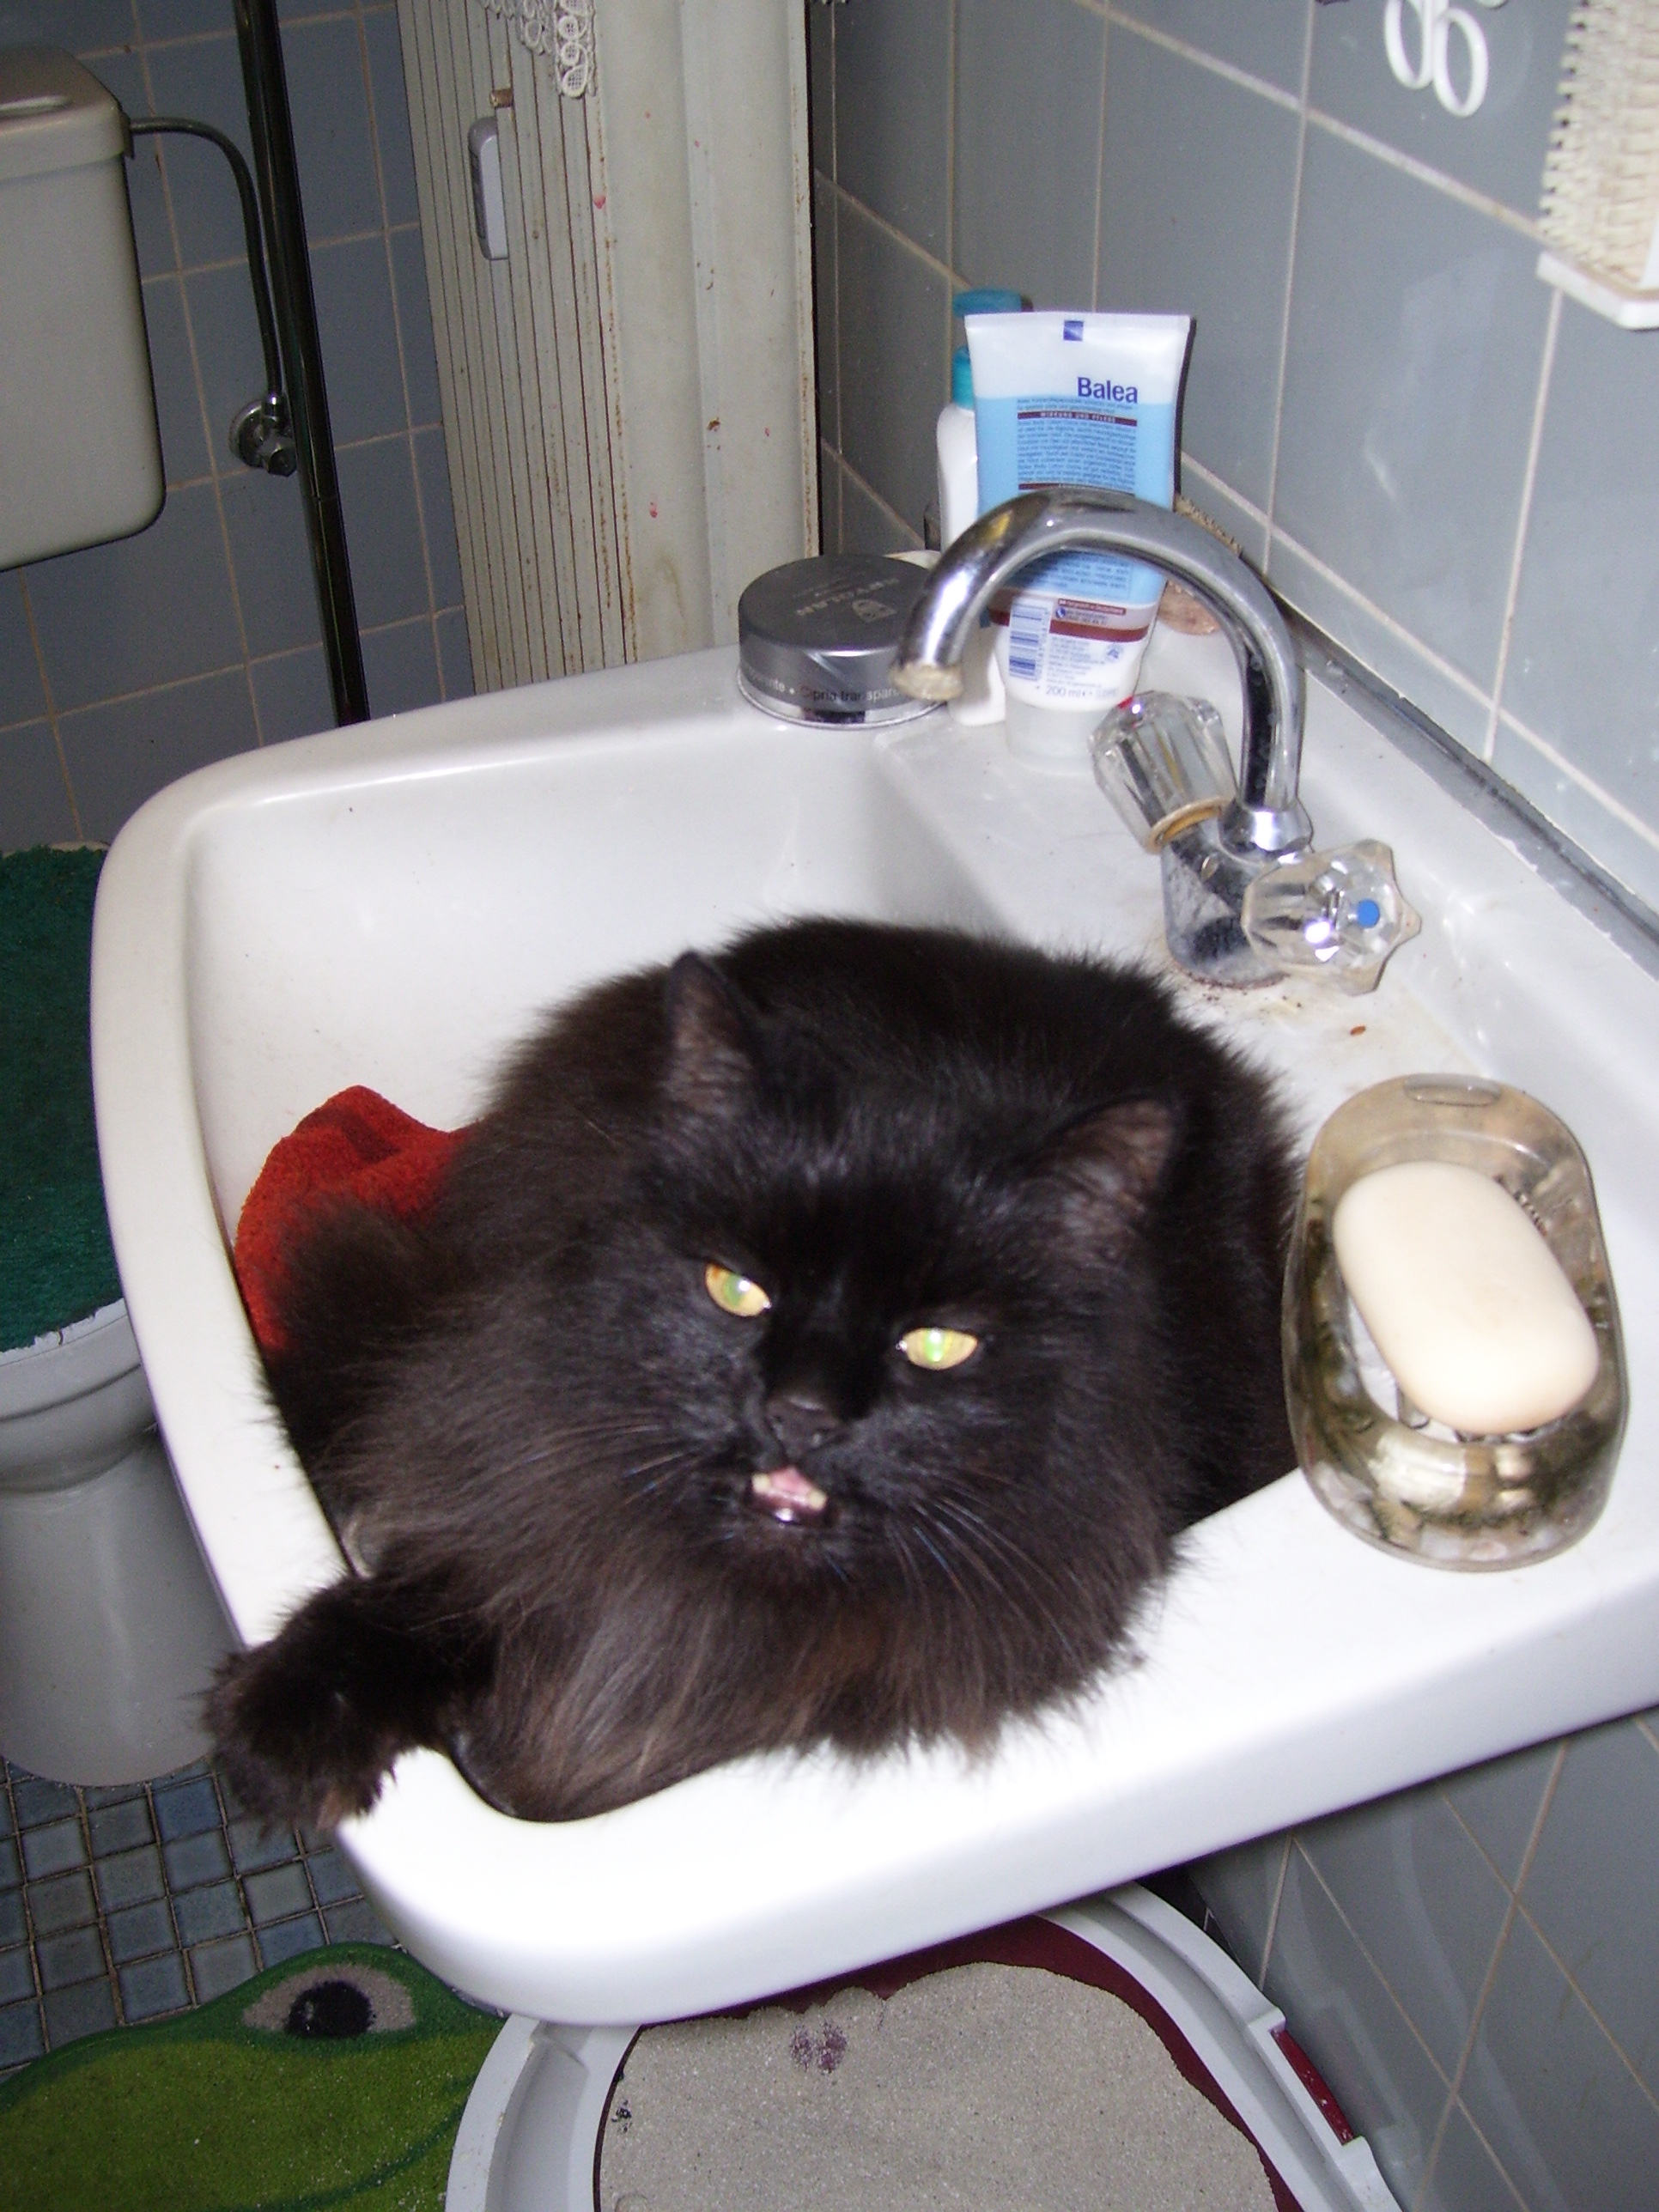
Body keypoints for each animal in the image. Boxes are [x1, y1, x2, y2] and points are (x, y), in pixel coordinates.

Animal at [208, 918, 1297, 1829]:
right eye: (739, 1290)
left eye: (936, 1345)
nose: (800, 1411)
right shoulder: (521, 1501)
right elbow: (429, 1593)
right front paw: (283, 1725)